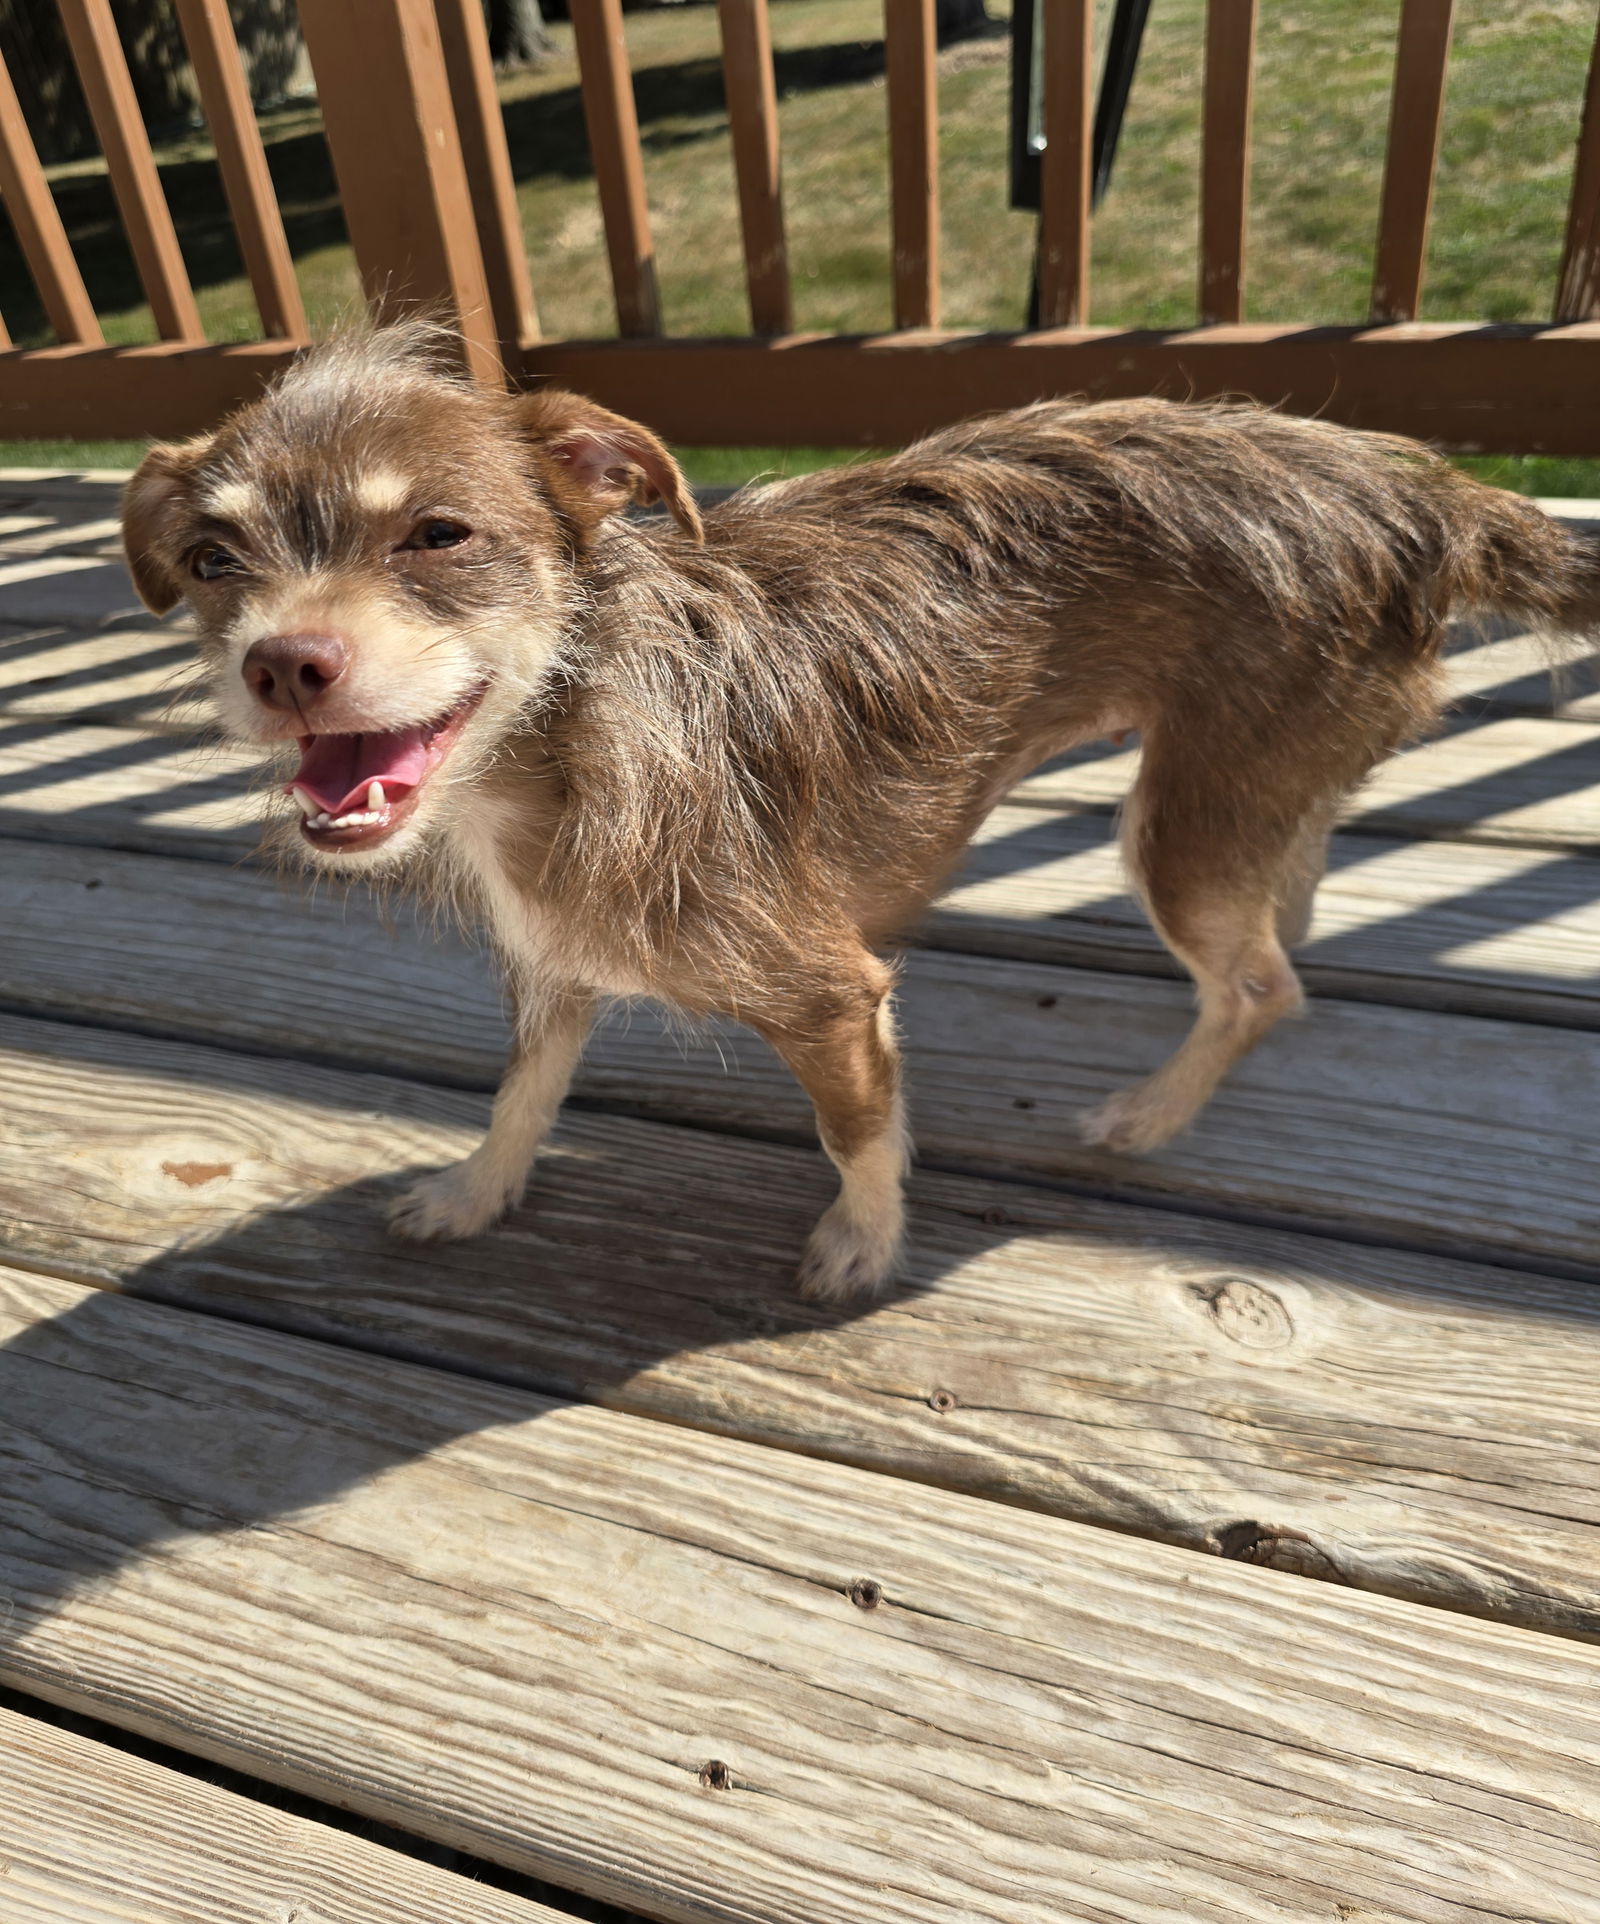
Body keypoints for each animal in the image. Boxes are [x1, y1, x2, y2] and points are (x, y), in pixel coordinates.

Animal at [122, 330, 1600, 1300]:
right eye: (210, 559)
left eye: (438, 535)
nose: (282, 665)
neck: (569, 741)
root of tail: (1424, 488)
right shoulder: (557, 964)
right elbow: (519, 1095)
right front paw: (476, 1194)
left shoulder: (830, 993)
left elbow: (859, 1129)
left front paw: (864, 1246)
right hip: (1248, 785)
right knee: (1287, 905)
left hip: (1175, 831)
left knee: (1260, 984)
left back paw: (1150, 1114)